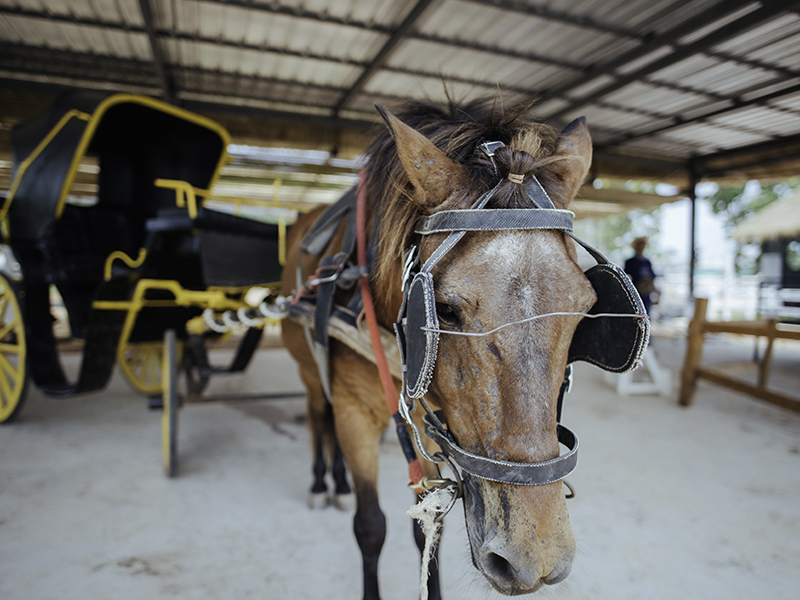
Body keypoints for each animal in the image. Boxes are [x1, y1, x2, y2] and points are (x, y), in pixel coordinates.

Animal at [280, 96, 644, 596]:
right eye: (446, 311)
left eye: (586, 308)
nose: (535, 559)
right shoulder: (355, 411)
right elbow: (370, 526)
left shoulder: (428, 424)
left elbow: (427, 535)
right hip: (312, 372)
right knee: (319, 413)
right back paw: (323, 482)